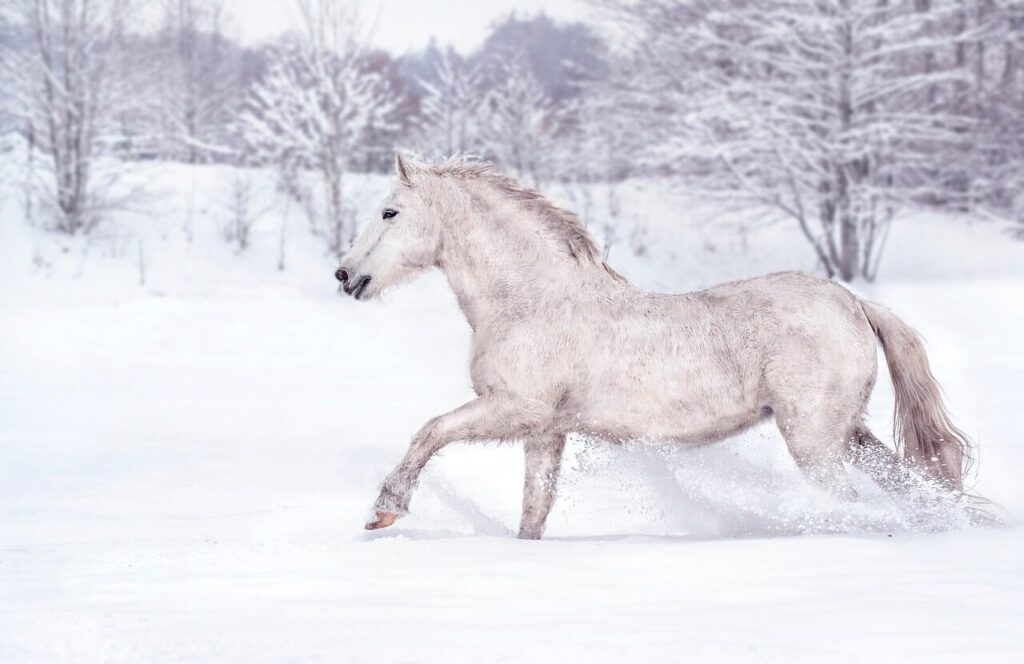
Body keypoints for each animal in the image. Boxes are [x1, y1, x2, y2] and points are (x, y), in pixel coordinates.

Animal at [336, 154, 974, 539]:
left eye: (390, 212)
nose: (346, 276)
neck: (532, 299)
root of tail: (853, 302)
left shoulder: (515, 408)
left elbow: (430, 432)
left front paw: (385, 510)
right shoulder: (545, 432)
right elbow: (535, 509)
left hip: (814, 440)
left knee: (849, 502)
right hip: (847, 434)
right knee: (909, 481)